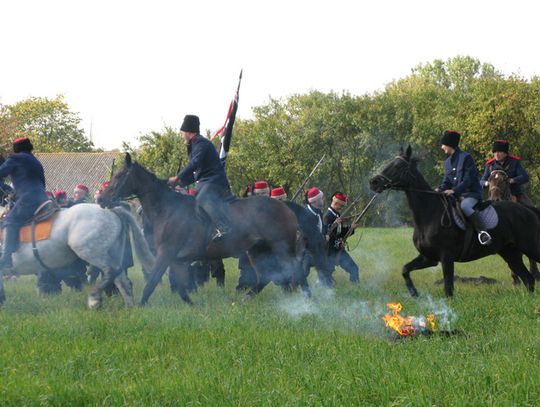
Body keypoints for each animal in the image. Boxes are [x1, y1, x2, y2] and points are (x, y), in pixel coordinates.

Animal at [0, 202, 154, 308]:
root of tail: (110, 211)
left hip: (89, 251)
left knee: (110, 271)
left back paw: (94, 299)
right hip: (112, 253)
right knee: (122, 280)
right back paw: (129, 307)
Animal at [101, 155, 304, 304]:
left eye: (119, 175)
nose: (101, 199)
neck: (167, 208)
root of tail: (286, 207)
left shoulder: (165, 254)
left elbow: (151, 282)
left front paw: (140, 306)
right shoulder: (177, 260)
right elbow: (181, 288)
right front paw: (193, 306)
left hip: (280, 248)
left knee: (293, 270)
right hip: (256, 251)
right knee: (264, 277)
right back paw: (246, 299)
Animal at [370, 146, 540, 296]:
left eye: (398, 167)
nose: (373, 182)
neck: (430, 213)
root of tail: (527, 209)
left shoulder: (446, 258)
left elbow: (448, 289)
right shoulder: (428, 258)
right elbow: (405, 269)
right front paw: (413, 292)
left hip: (529, 247)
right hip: (510, 253)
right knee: (528, 279)